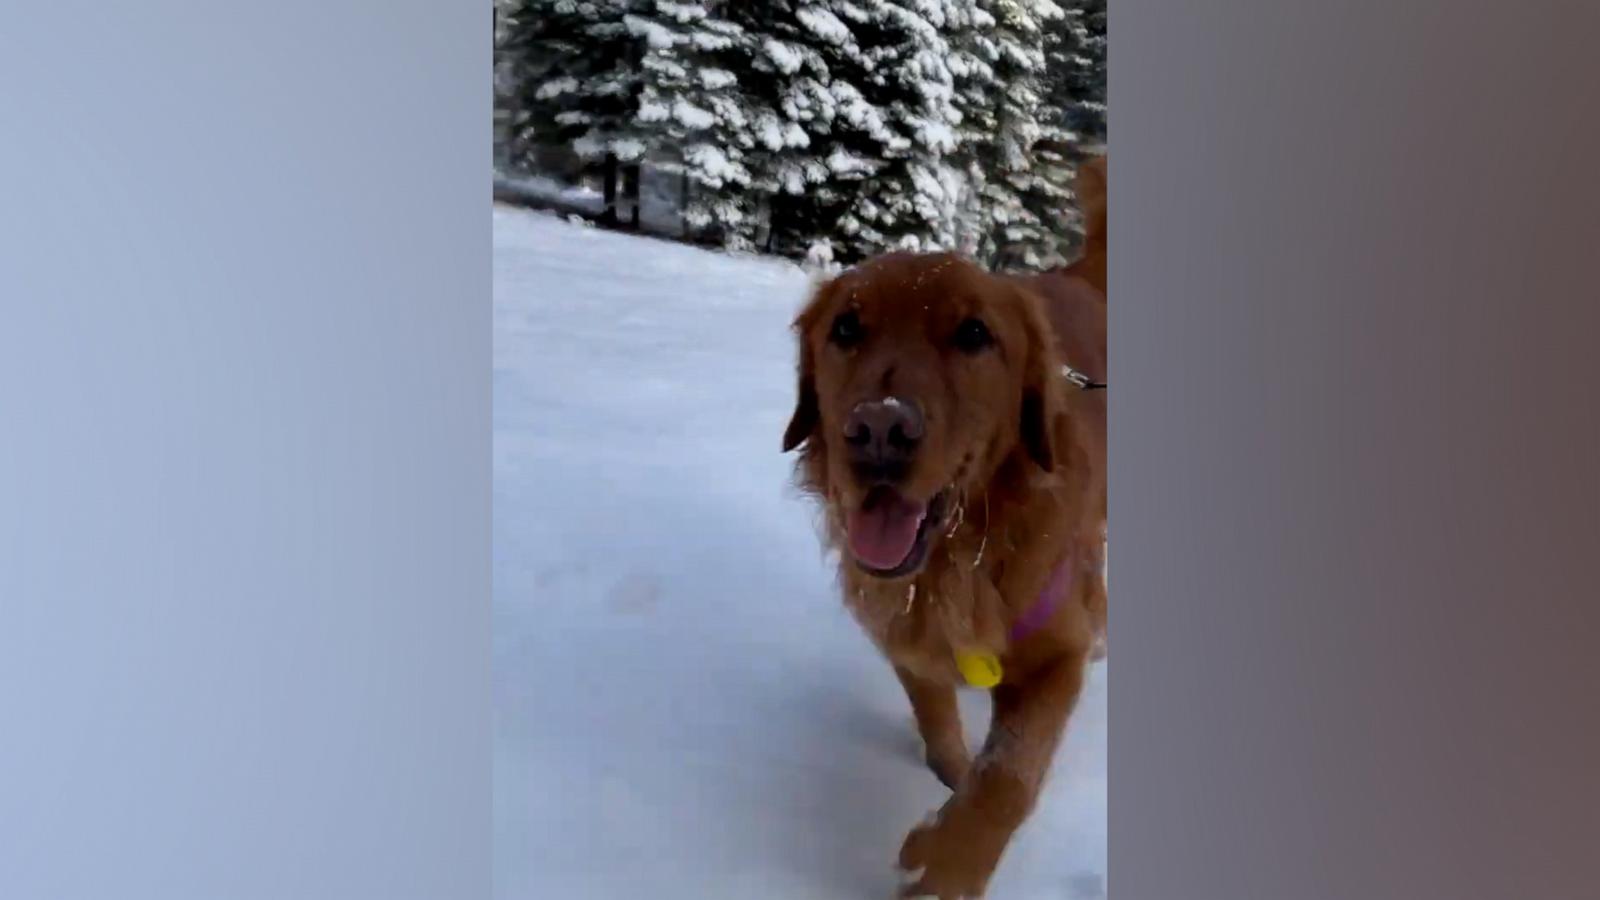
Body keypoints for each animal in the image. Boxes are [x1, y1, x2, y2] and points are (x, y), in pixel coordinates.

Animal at [777, 159, 1107, 890]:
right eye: (847, 328)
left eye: (975, 335)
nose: (878, 431)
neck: (960, 561)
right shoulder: (906, 641)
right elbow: (941, 732)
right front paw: (948, 790)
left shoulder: (1058, 654)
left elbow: (1008, 780)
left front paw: (946, 867)